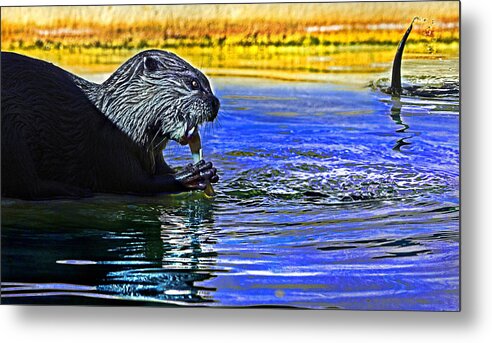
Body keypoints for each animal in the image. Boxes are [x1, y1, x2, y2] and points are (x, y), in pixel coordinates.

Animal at [0, 51, 219, 202]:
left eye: (207, 83)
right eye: (192, 83)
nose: (216, 102)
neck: (119, 120)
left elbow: (162, 170)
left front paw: (210, 172)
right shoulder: (109, 145)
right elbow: (135, 182)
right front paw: (192, 174)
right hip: (11, 135)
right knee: (27, 184)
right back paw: (74, 190)